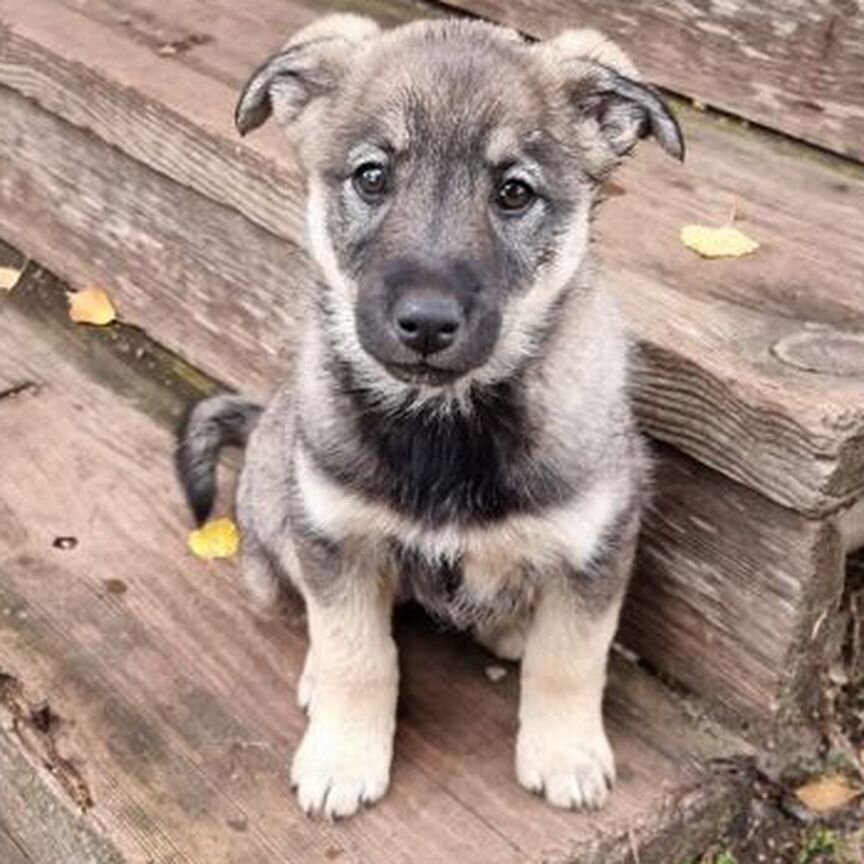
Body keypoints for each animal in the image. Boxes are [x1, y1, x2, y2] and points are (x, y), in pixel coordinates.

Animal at [179, 16, 684, 820]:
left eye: (514, 192)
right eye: (371, 176)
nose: (425, 323)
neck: (444, 422)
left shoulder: (598, 545)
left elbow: (570, 658)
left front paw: (566, 753)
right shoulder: (334, 536)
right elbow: (358, 653)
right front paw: (343, 755)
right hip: (278, 512)